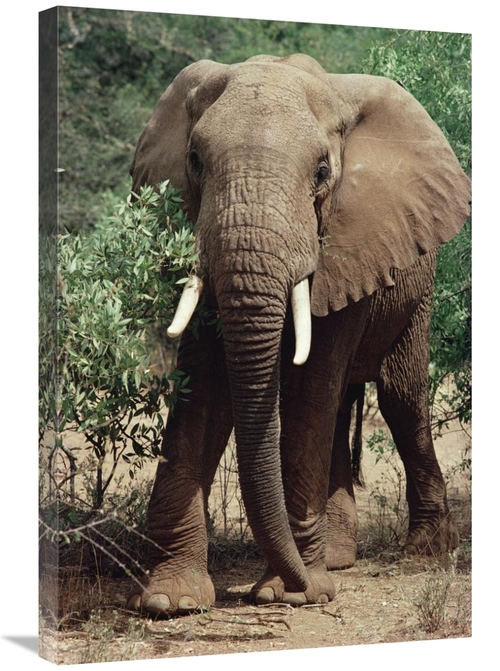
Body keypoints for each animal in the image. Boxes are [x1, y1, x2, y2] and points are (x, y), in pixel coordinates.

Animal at [126, 54, 471, 616]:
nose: (301, 586)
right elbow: (206, 387)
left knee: (398, 399)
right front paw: (169, 601)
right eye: (194, 160)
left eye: (322, 173)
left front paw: (290, 594)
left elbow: (311, 388)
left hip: (418, 285)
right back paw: (337, 560)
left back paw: (424, 552)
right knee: (342, 407)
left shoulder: (350, 242)